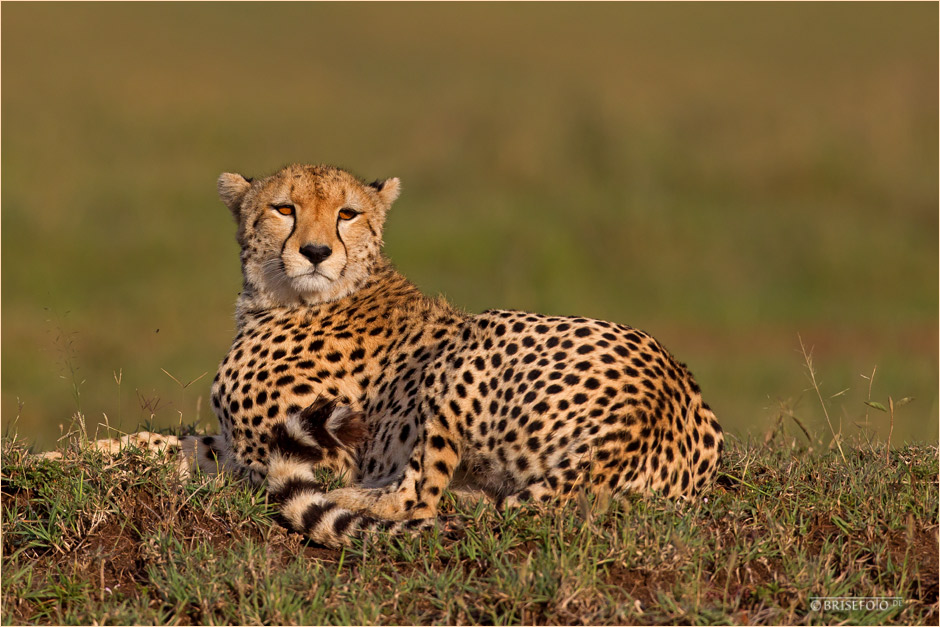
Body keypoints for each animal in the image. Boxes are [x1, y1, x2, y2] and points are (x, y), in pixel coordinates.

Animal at [75, 164, 720, 548]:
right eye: (284, 209)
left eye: (347, 214)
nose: (315, 252)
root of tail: (657, 395)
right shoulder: (239, 440)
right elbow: (162, 442)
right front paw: (82, 454)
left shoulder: (297, 448)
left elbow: (203, 460)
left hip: (468, 350)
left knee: (415, 499)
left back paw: (351, 504)